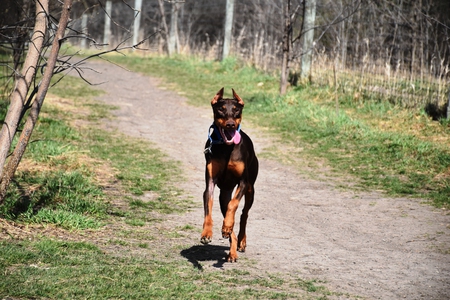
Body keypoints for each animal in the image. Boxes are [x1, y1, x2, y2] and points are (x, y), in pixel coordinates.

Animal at [201, 87, 260, 262]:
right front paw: (206, 233)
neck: (227, 148)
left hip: (251, 189)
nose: (230, 124)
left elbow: (234, 205)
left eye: (236, 110)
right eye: (221, 109)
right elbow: (208, 208)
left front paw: (227, 225)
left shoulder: (243, 182)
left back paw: (241, 241)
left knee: (243, 215)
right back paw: (232, 249)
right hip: (224, 195)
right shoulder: (210, 183)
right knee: (228, 213)